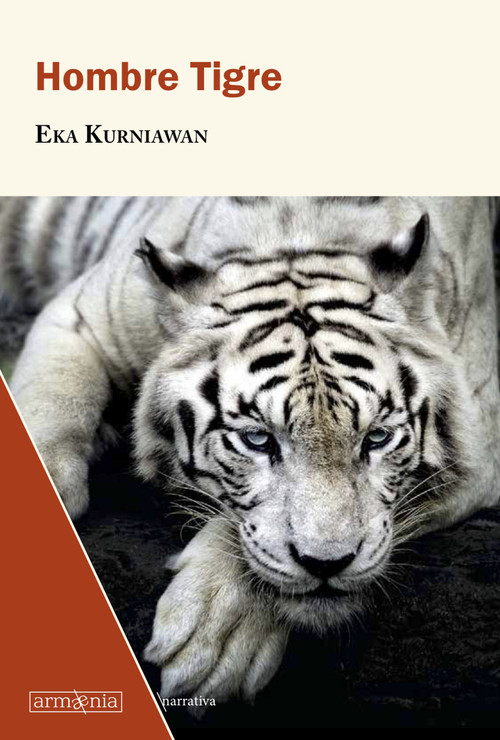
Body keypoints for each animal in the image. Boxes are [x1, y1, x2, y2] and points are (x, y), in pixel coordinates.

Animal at [1, 196, 499, 705]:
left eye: (376, 438)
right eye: (257, 439)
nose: (328, 563)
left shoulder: (480, 442)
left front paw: (214, 632)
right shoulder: (80, 315)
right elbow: (50, 402)